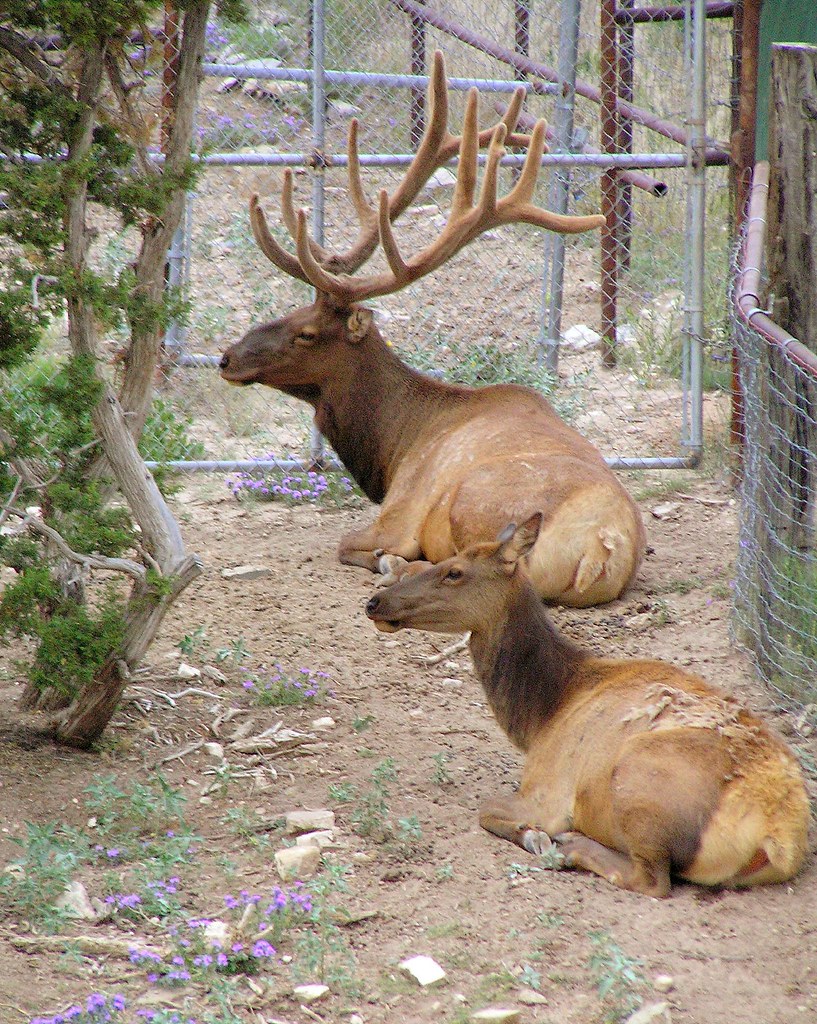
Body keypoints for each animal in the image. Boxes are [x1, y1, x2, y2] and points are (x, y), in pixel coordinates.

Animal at [219, 51, 646, 607]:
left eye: (306, 333)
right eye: (291, 313)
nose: (227, 358)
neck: (394, 447)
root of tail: (603, 544)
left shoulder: (399, 512)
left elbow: (347, 542)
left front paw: (388, 561)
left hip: (474, 499)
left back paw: (400, 570)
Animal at [365, 514, 811, 897]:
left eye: (454, 571)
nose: (375, 602)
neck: (543, 715)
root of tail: (779, 835)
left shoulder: (546, 792)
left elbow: (487, 809)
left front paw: (535, 837)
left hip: (637, 781)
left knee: (651, 879)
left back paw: (572, 846)